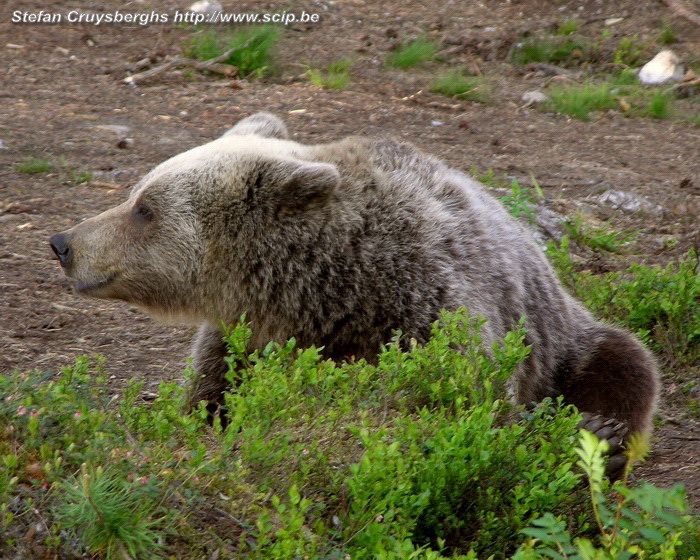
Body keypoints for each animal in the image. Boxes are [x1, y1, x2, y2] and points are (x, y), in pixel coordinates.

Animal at [49, 111, 656, 470]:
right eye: (136, 194)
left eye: (144, 209)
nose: (62, 242)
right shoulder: (244, 337)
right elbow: (210, 397)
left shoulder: (427, 308)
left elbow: (454, 398)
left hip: (561, 339)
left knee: (624, 362)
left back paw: (597, 431)